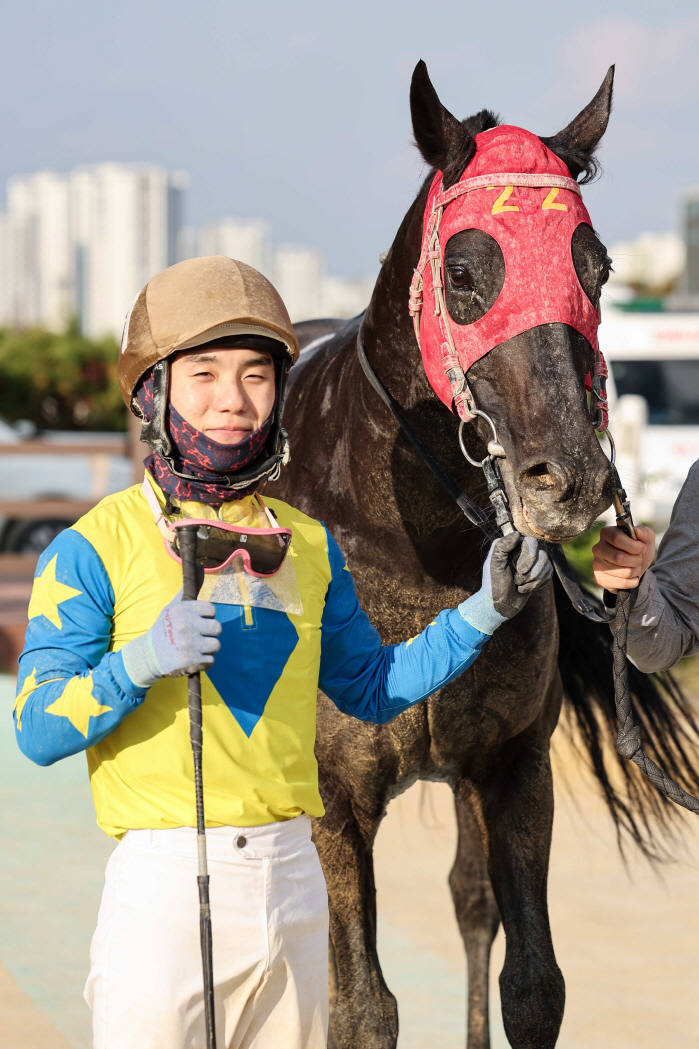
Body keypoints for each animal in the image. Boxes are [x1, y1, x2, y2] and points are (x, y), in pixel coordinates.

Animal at [265, 63, 696, 1049]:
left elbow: (532, 982)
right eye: (464, 272)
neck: (414, 550)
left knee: (469, 898)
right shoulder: (335, 793)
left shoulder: (509, 765)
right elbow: (359, 1005)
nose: (569, 478)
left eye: (594, 267)